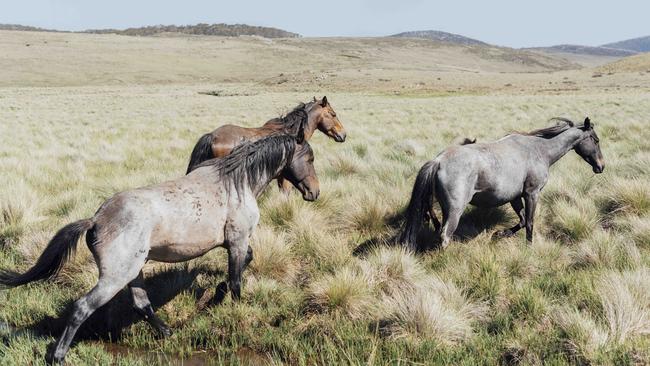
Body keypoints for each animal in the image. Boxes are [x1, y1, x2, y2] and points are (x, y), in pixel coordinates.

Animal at [0, 132, 318, 364]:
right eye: (310, 157)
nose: (314, 192)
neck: (237, 183)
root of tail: (96, 219)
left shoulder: (235, 243)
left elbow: (243, 266)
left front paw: (218, 292)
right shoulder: (238, 241)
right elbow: (238, 280)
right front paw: (235, 311)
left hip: (133, 271)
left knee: (142, 304)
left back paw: (168, 332)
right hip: (115, 276)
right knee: (83, 307)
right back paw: (57, 355)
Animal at [398, 118, 604, 250]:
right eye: (595, 140)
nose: (601, 166)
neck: (539, 150)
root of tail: (439, 160)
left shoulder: (514, 197)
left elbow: (522, 221)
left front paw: (499, 235)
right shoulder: (532, 194)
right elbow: (530, 222)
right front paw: (529, 248)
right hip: (455, 210)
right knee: (445, 236)